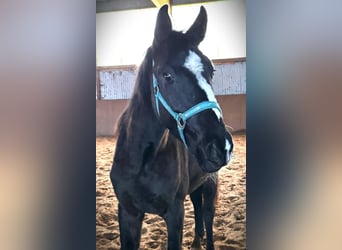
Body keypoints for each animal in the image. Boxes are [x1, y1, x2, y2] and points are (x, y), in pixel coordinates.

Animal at [111, 4, 234, 249]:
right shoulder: (128, 213)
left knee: (208, 216)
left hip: (210, 182)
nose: (221, 146)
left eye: (212, 71)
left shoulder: (175, 213)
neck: (142, 161)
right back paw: (195, 241)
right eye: (166, 75)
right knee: (197, 207)